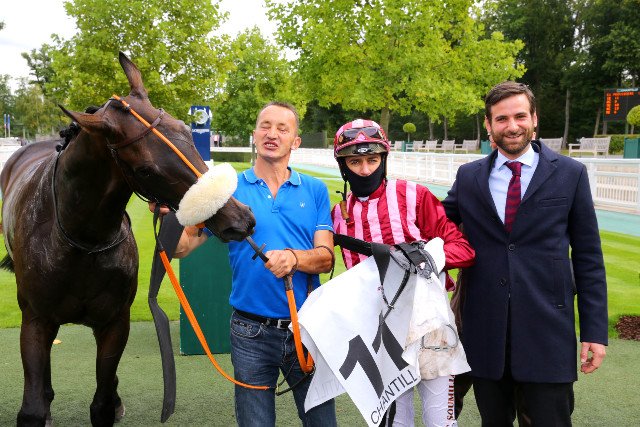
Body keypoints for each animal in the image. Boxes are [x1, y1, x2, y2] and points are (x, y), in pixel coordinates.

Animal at [0, 52, 255, 427]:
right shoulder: (36, 319)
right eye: (146, 169)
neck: (82, 242)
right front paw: (41, 403)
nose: (240, 220)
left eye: (186, 130)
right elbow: (31, 407)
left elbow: (102, 403)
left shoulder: (115, 322)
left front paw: (112, 401)